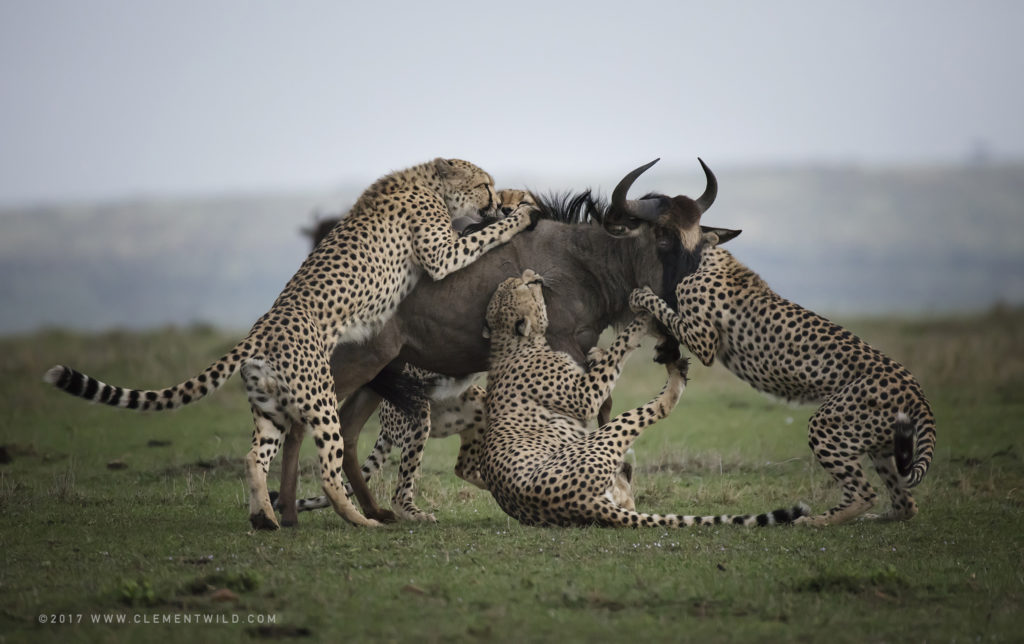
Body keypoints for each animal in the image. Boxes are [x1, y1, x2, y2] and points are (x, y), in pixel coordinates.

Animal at [44, 155, 540, 528]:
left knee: (253, 457)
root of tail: (259, 332)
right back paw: (361, 520)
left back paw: (265, 517)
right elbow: (483, 236)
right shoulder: (441, 254)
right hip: (320, 399)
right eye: (483, 184)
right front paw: (518, 216)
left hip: (269, 409)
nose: (496, 198)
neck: (425, 183)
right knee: (328, 470)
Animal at [479, 268, 806, 524]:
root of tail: (577, 504)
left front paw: (598, 354)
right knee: (656, 410)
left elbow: (608, 357)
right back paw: (674, 369)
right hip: (601, 439)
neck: (508, 344)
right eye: (523, 287)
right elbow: (621, 345)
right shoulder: (583, 395)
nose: (533, 274)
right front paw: (642, 321)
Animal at [622, 233, 937, 524]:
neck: (708, 255)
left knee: (864, 493)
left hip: (828, 425)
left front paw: (640, 296)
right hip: (883, 443)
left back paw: (814, 520)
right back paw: (878, 517)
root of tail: (915, 387)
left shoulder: (703, 340)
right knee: (906, 502)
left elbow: (663, 308)